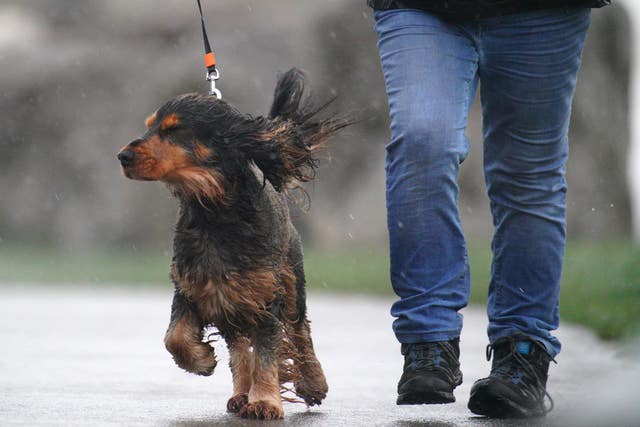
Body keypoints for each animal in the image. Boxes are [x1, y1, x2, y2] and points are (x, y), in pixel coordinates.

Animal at [117, 68, 348, 420]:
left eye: (174, 130)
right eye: (149, 126)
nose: (123, 156)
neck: (213, 212)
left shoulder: (265, 297)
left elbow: (267, 352)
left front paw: (265, 401)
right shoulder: (191, 288)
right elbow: (175, 337)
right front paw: (200, 360)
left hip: (292, 280)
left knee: (300, 330)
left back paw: (313, 382)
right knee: (239, 347)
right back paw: (241, 394)